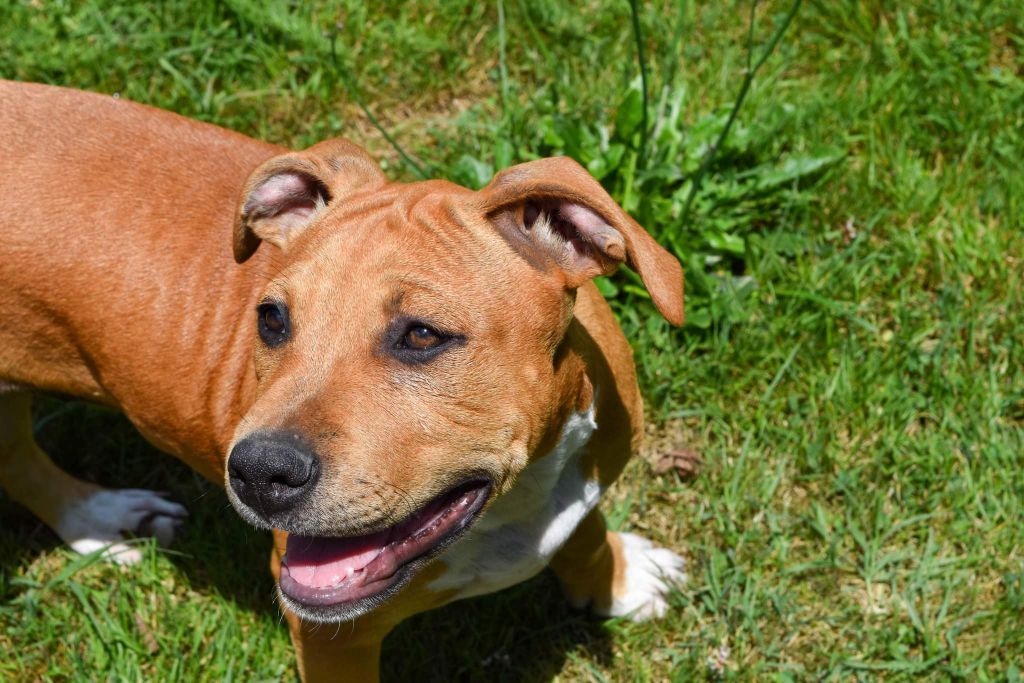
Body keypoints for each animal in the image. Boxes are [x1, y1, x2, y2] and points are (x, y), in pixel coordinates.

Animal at [2, 78, 688, 679]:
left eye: (422, 335)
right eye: (271, 319)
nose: (259, 473)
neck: (516, 501)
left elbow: (584, 534)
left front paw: (618, 581)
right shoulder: (331, 636)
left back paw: (101, 518)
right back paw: (100, 518)